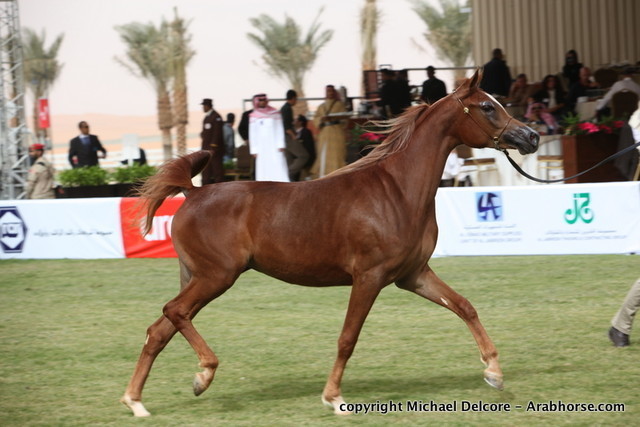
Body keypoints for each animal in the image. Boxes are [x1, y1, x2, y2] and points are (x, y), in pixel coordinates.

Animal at [121, 70, 539, 417]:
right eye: (487, 106)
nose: (530, 136)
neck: (397, 192)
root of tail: (192, 194)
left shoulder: (413, 275)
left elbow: (465, 307)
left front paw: (494, 373)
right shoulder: (369, 277)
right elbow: (347, 338)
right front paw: (334, 398)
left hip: (199, 277)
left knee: (160, 329)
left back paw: (137, 401)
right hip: (217, 276)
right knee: (175, 312)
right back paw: (202, 374)